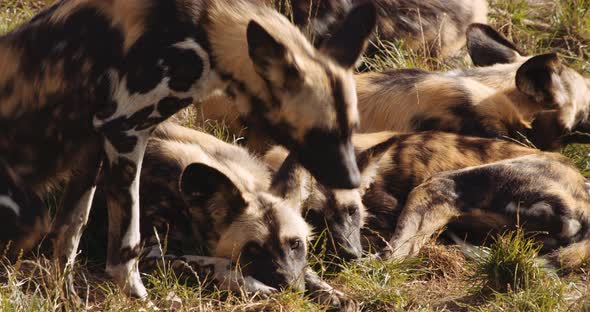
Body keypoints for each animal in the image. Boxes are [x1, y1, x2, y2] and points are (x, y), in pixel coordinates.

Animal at [140, 122, 356, 310]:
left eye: (295, 244)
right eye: (253, 249)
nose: (291, 291)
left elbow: (306, 269)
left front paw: (330, 292)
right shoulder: (150, 255)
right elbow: (217, 263)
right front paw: (255, 287)